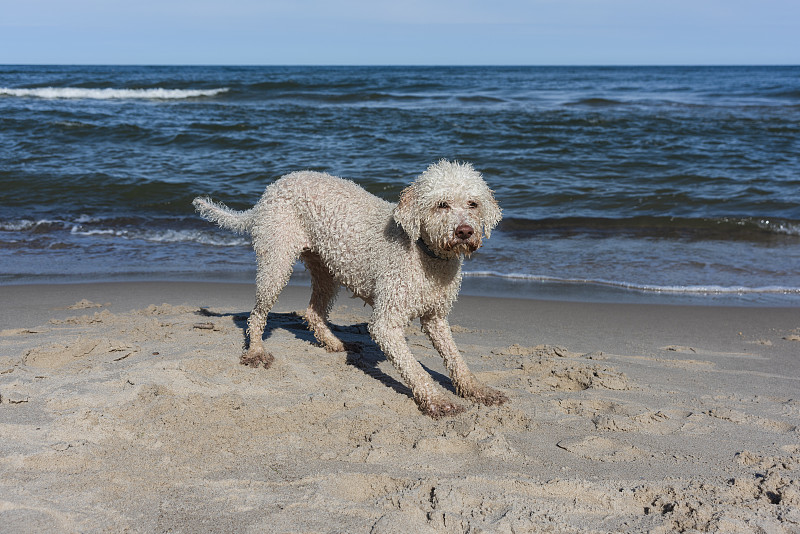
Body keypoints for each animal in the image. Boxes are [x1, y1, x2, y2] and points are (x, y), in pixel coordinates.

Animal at [194, 159, 506, 418]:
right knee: (257, 315)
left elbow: (457, 360)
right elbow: (415, 369)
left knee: (313, 312)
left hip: (325, 269)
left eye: (473, 204)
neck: (424, 253)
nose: (464, 231)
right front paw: (438, 401)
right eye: (441, 205)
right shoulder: (386, 324)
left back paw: (335, 343)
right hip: (276, 262)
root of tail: (272, 188)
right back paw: (256, 352)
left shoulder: (436, 318)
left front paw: (478, 390)